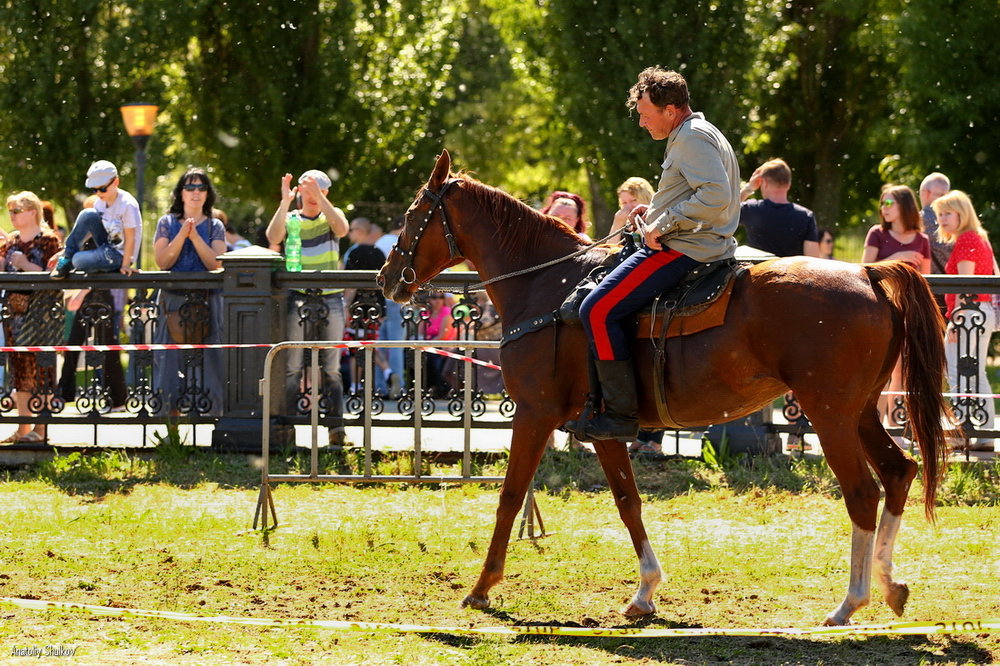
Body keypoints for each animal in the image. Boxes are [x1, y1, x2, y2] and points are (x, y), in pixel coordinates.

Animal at [376, 149, 952, 624]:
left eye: (412, 215)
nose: (384, 277)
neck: (550, 287)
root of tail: (866, 274)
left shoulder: (534, 412)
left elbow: (510, 496)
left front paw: (482, 587)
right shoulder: (604, 426)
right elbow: (627, 500)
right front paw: (645, 592)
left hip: (829, 414)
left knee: (863, 493)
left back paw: (849, 602)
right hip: (860, 411)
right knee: (899, 474)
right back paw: (889, 586)